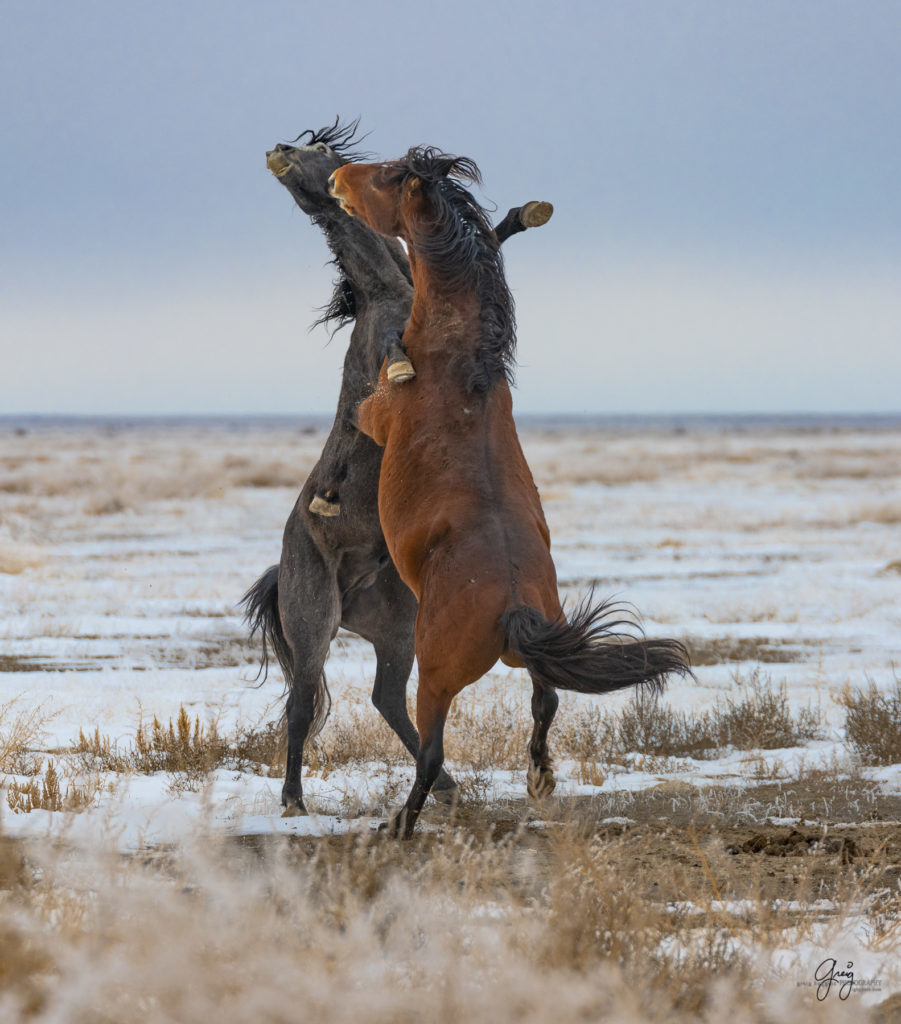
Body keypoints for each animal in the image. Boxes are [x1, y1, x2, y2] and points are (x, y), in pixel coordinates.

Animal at [329, 151, 688, 839]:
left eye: (386, 175)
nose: (337, 179)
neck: (456, 362)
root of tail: (515, 605)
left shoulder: (375, 414)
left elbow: (358, 410)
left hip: (435, 676)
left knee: (432, 749)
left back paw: (401, 825)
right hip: (524, 655)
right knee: (546, 698)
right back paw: (539, 777)